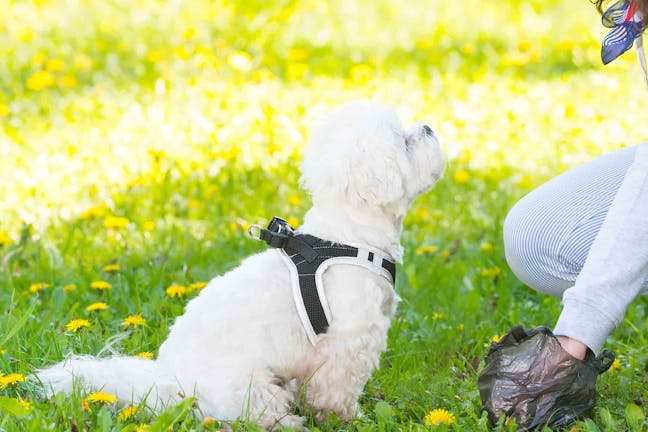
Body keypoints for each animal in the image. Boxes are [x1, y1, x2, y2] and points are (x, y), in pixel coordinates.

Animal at [34, 101, 446, 428]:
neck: (349, 236)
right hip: (247, 386)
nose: (428, 126)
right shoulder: (348, 342)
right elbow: (336, 390)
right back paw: (288, 422)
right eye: (404, 142)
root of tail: (171, 383)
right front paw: (345, 418)